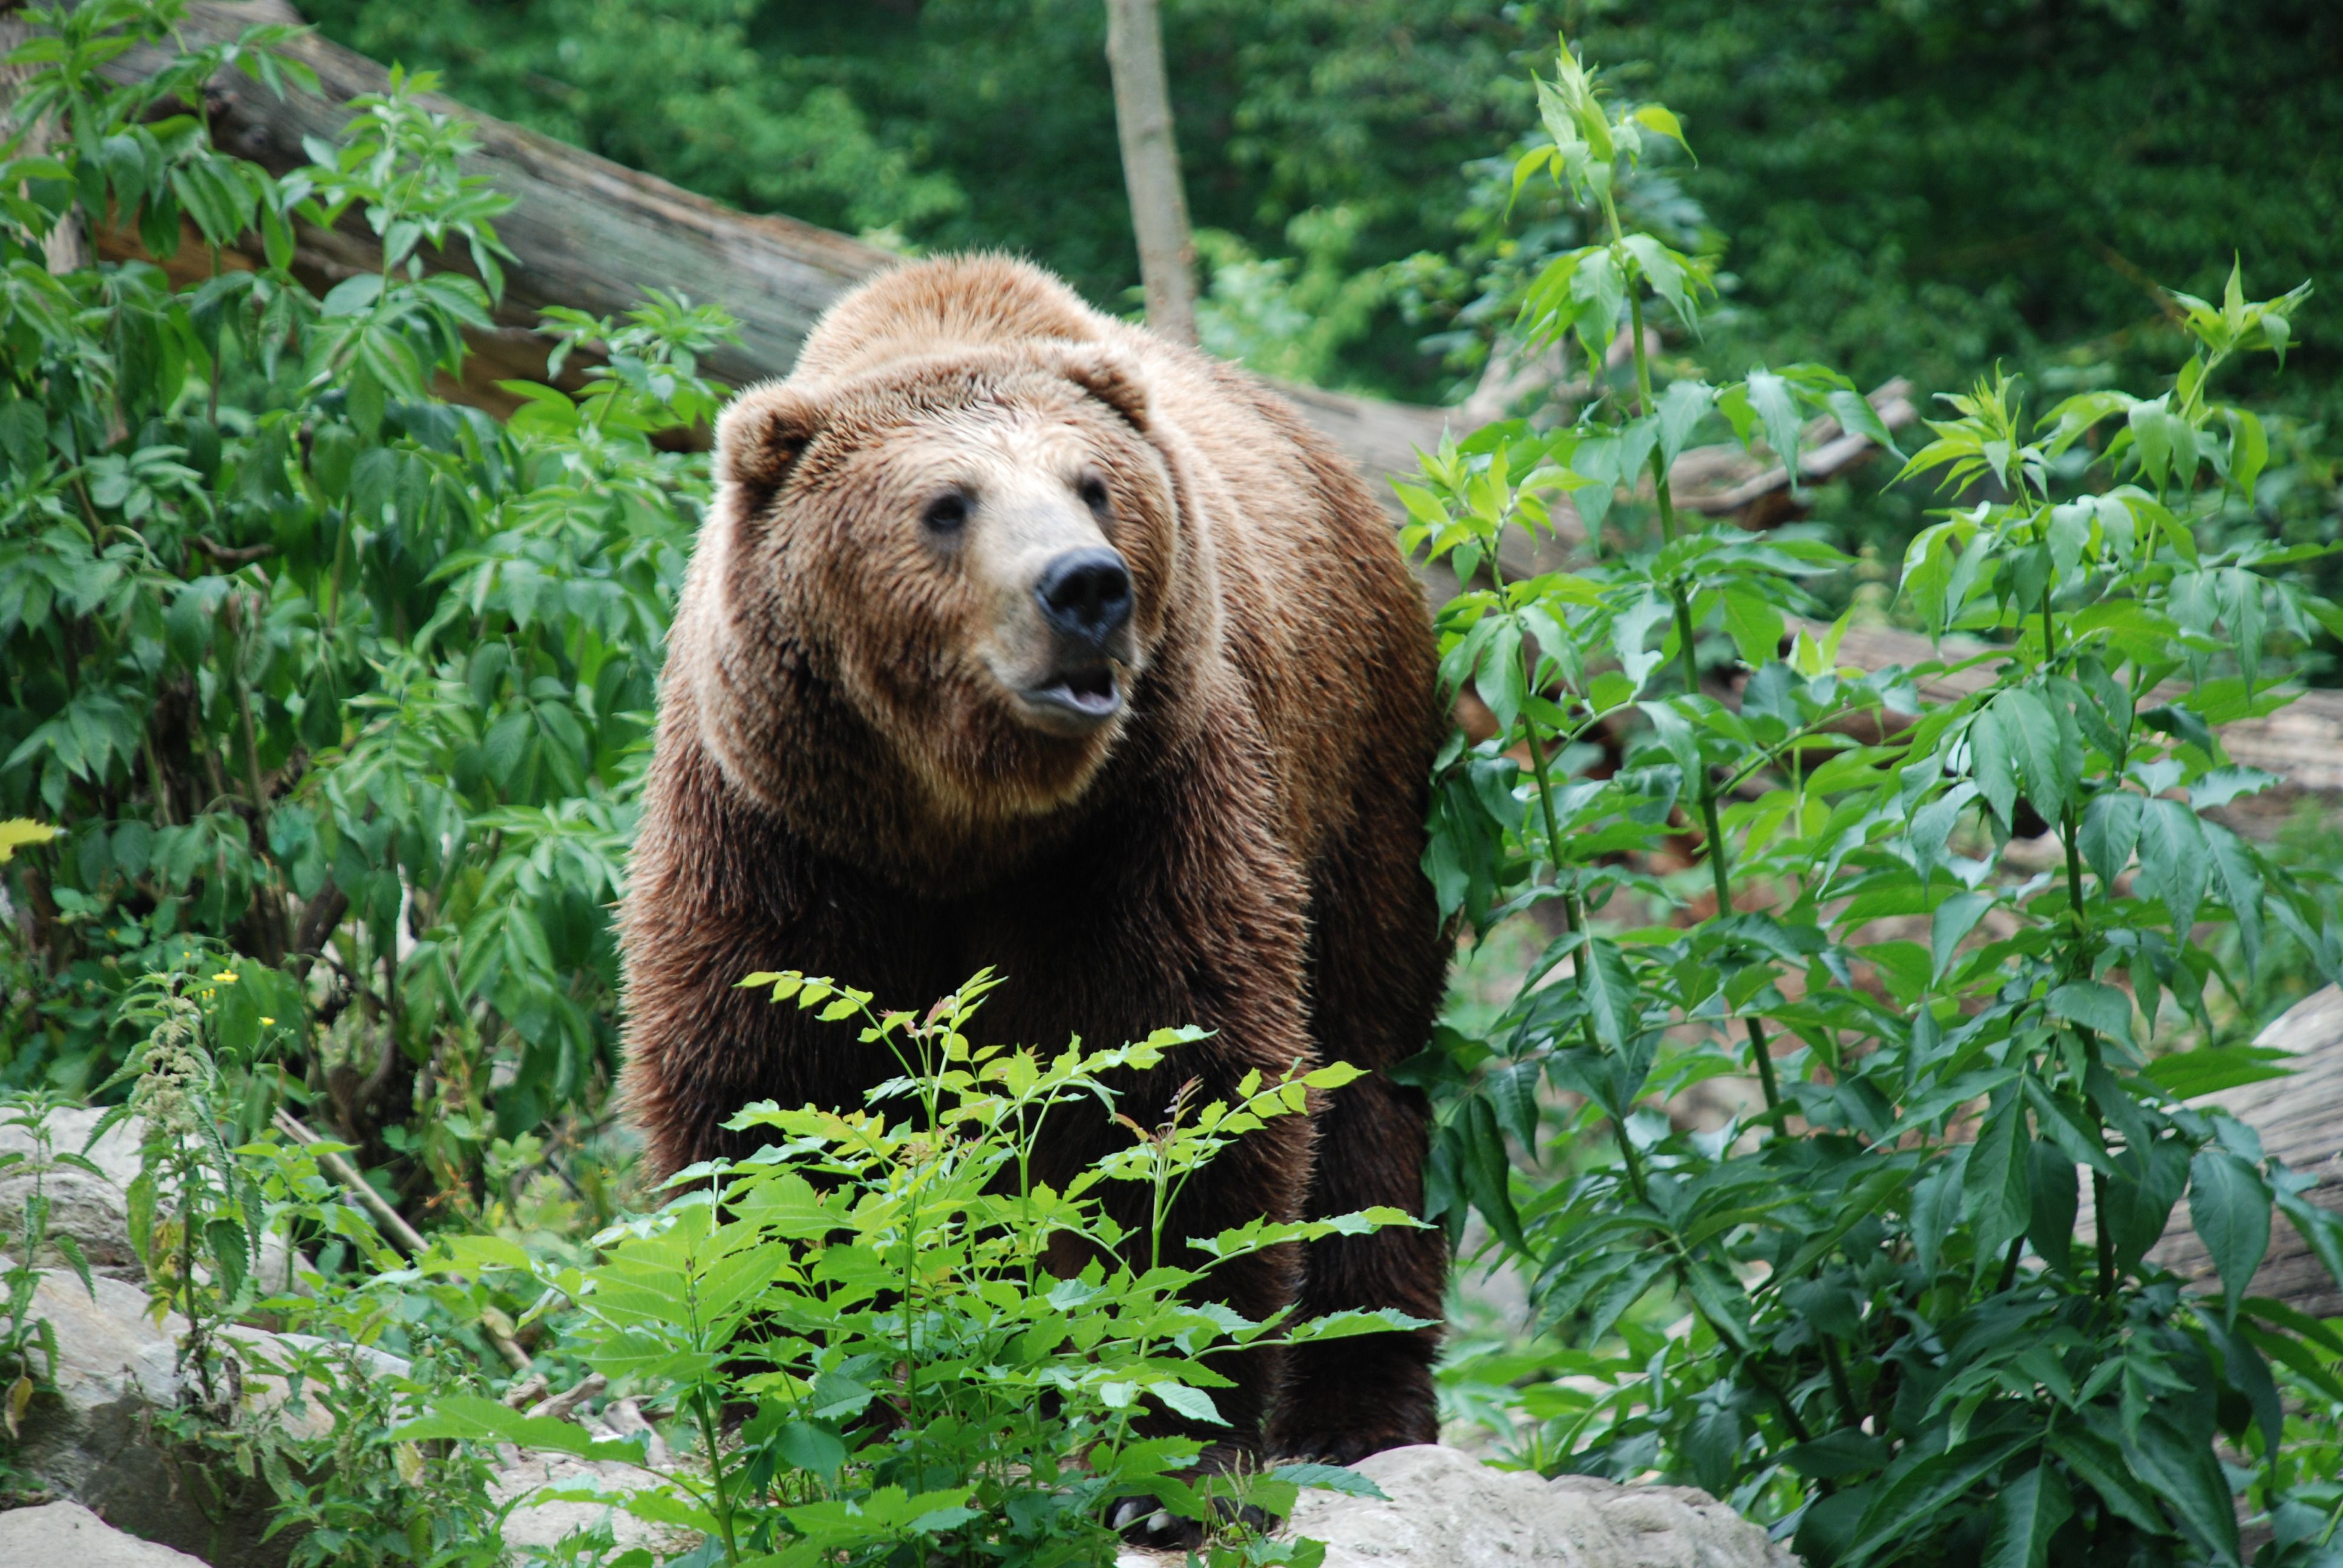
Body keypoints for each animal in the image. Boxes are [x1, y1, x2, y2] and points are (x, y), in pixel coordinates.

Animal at [616, 254, 1450, 1477]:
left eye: (1093, 486)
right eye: (946, 504)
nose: (1086, 586)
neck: (960, 814)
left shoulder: (1142, 814)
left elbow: (1180, 1084)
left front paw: (1167, 1444)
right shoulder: (778, 827)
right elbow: (768, 1092)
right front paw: (813, 1405)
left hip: (1360, 771)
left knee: (1366, 1073)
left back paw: (1361, 1407)